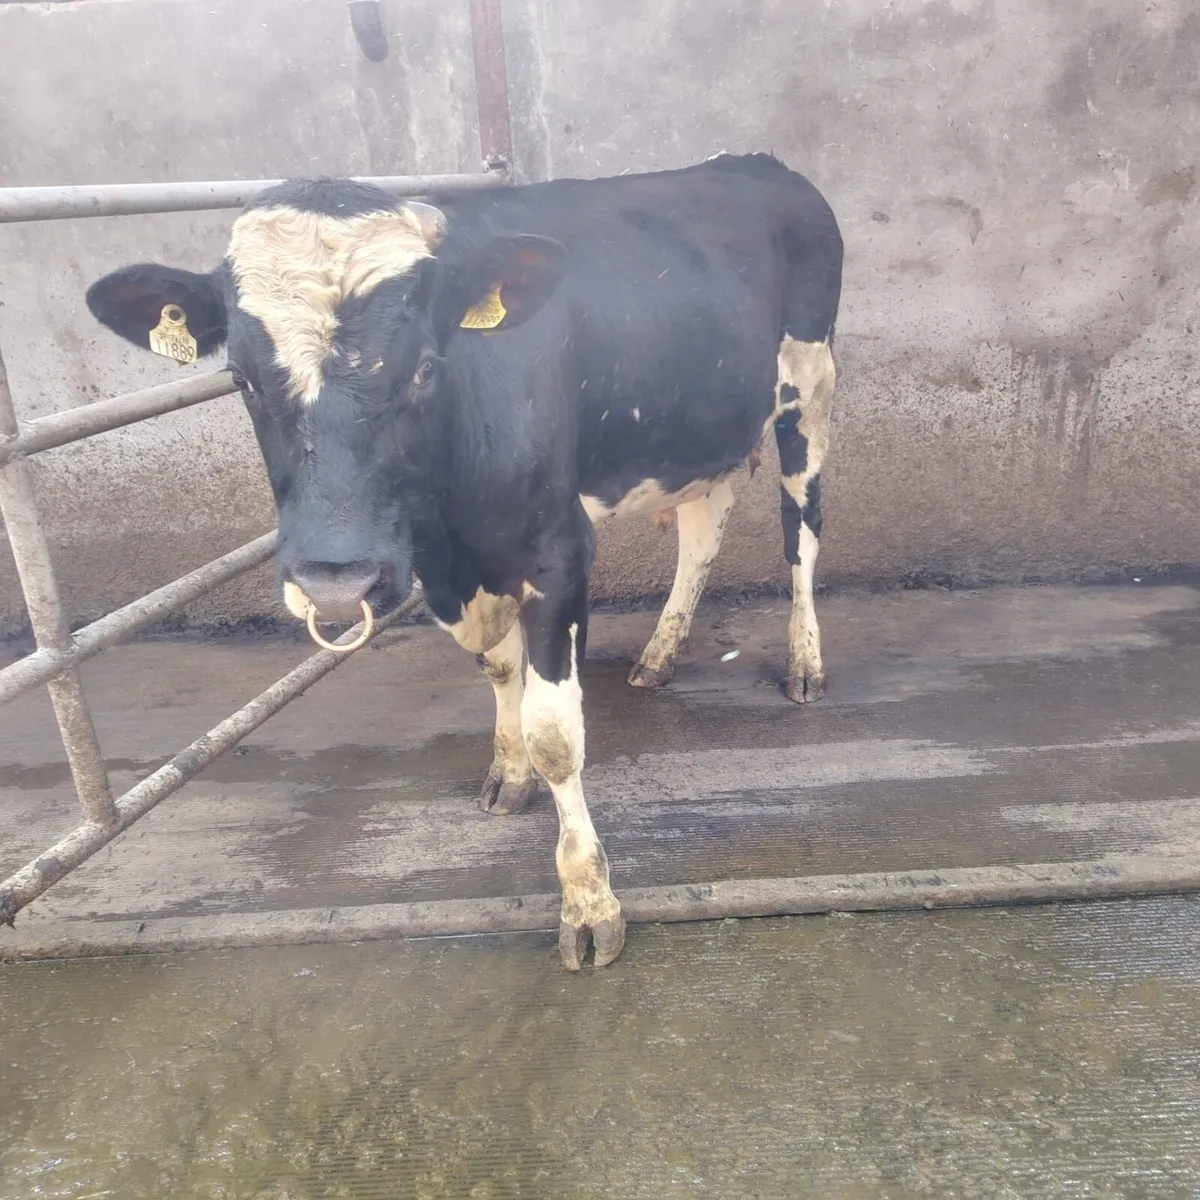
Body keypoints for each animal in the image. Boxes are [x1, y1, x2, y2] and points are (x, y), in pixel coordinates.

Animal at [84, 153, 843, 971]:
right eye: (242, 380)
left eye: (424, 367)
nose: (334, 581)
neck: (449, 538)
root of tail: (753, 162)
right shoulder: (450, 572)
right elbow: (499, 671)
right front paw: (507, 774)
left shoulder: (559, 554)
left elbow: (556, 735)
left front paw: (588, 902)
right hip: (697, 427)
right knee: (705, 524)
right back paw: (660, 653)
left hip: (810, 386)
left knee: (801, 527)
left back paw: (805, 662)